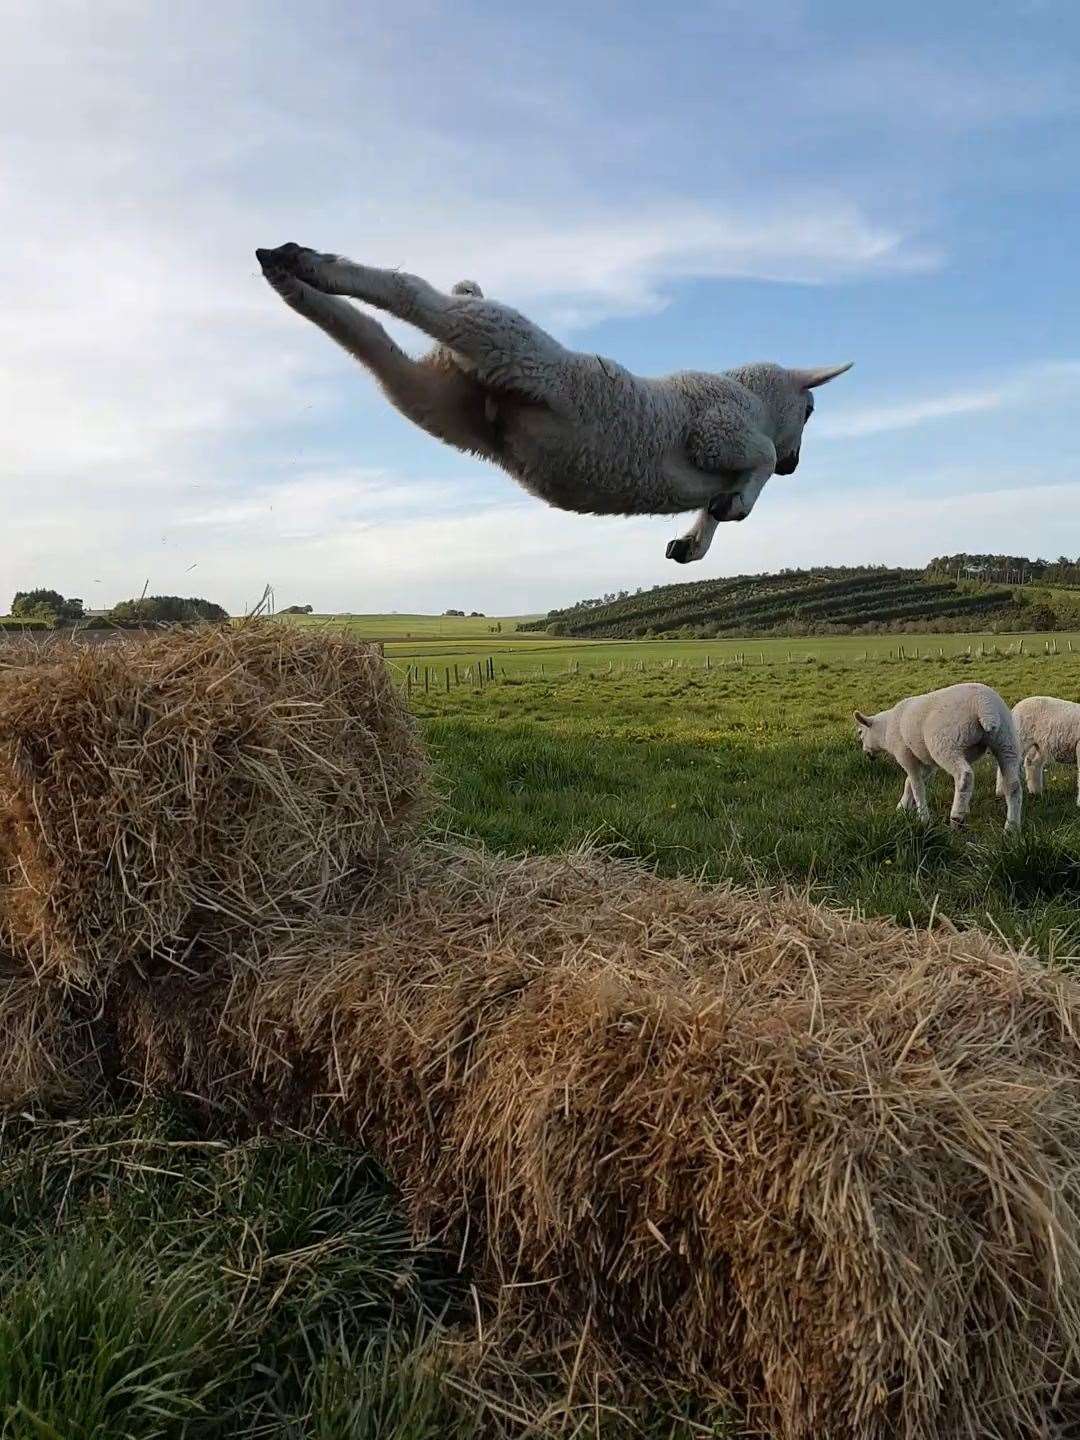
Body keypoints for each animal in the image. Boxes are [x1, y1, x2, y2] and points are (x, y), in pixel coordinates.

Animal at [256, 244, 852, 564]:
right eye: (811, 412)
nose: (797, 466)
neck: (754, 398)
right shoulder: (716, 432)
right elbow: (759, 461)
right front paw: (740, 504)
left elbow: (715, 507)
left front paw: (693, 543)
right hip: (508, 341)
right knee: (413, 295)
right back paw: (306, 261)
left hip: (428, 394)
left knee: (370, 338)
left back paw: (289, 277)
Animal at [852, 682, 1025, 835]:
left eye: (860, 732)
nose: (867, 753)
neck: (886, 730)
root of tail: (984, 705)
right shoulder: (928, 763)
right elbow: (909, 783)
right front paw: (902, 807)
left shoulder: (906, 756)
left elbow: (916, 786)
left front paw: (923, 818)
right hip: (1006, 741)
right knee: (1013, 785)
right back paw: (1011, 826)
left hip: (946, 744)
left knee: (964, 776)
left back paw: (957, 817)